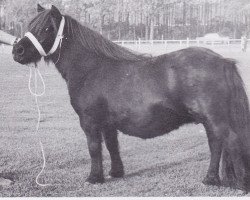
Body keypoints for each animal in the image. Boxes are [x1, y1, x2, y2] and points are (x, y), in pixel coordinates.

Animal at [13, 4, 250, 191]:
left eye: (46, 28)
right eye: (30, 26)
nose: (18, 51)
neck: (91, 69)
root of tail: (223, 61)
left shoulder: (90, 121)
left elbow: (94, 148)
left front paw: (94, 178)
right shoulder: (108, 123)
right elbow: (112, 146)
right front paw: (115, 173)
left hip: (214, 118)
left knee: (230, 141)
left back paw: (234, 183)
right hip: (212, 120)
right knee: (217, 144)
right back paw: (215, 179)